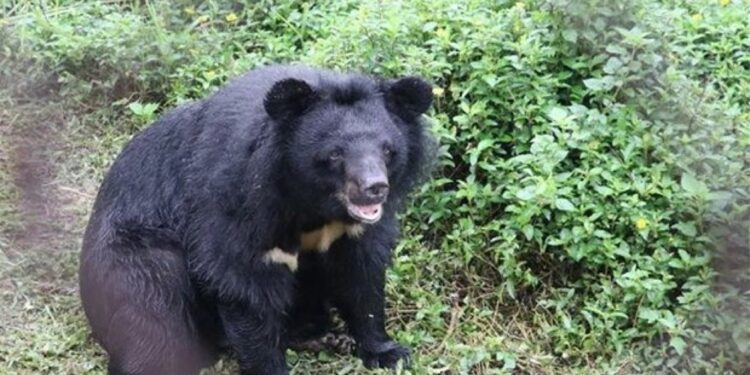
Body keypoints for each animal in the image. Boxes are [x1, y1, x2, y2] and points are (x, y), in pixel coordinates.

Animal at [78, 65, 434, 375]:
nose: (375, 189)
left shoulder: (352, 232)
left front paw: (388, 352)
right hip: (135, 256)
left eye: (388, 150)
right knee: (153, 306)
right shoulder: (236, 201)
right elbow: (242, 281)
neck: (312, 204)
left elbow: (361, 276)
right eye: (335, 154)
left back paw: (323, 335)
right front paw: (270, 368)